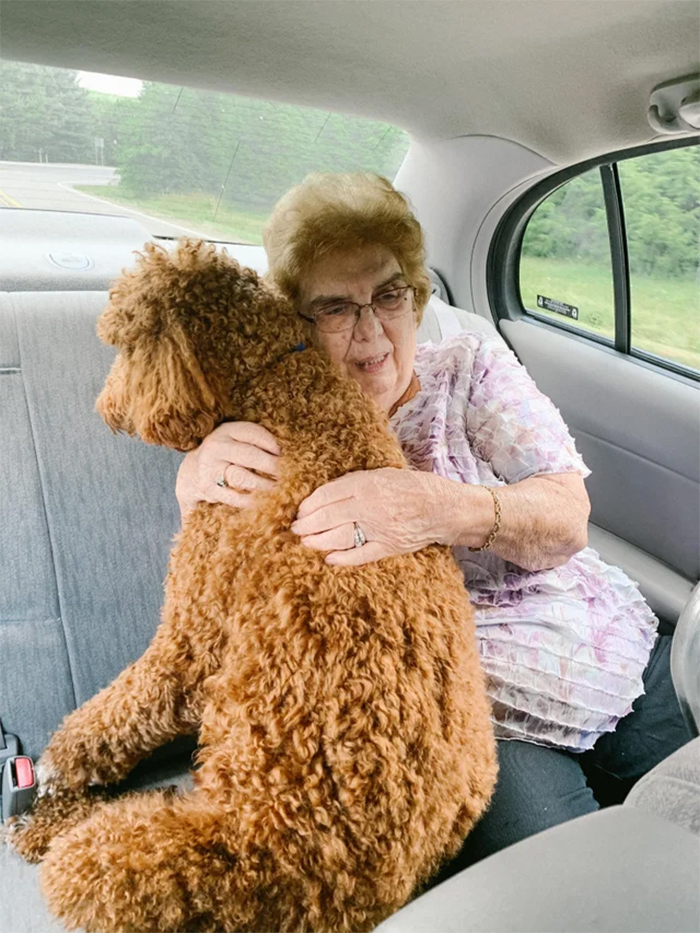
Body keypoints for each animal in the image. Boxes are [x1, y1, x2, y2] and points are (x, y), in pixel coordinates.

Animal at [8, 242, 494, 932]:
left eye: (123, 346)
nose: (106, 407)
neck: (278, 374)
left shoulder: (191, 636)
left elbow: (109, 716)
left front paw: (53, 772)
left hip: (124, 859)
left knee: (86, 856)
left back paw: (50, 825)